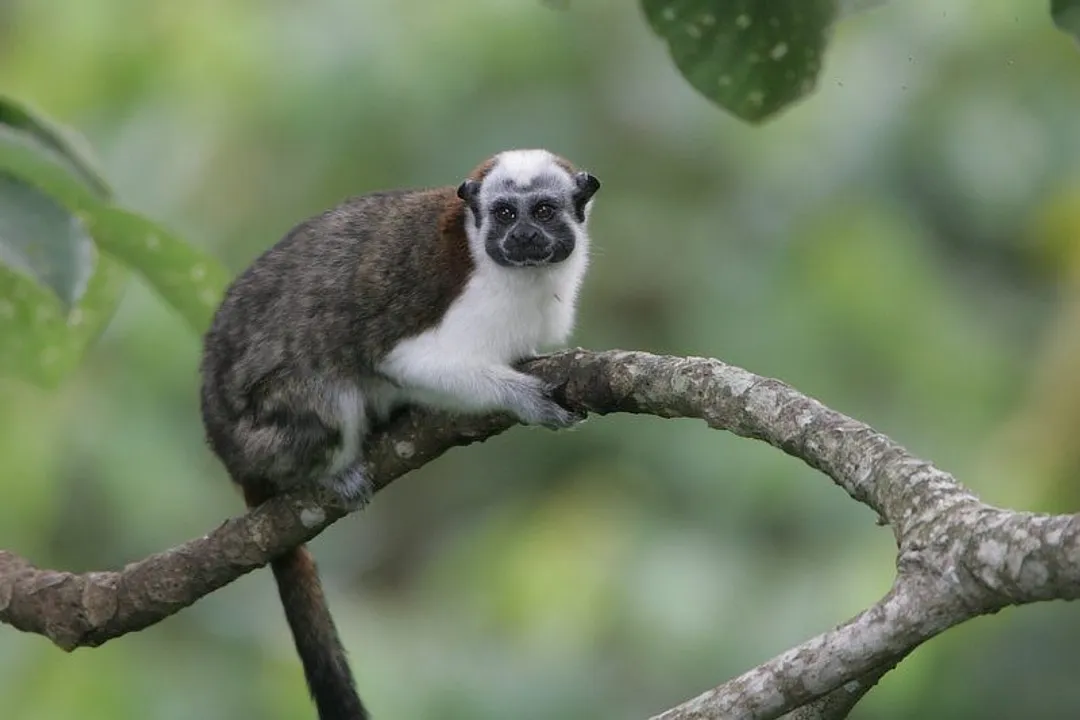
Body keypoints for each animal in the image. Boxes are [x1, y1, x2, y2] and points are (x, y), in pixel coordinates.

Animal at [198, 149, 600, 720]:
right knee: (329, 389)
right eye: (504, 214)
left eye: (543, 211)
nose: (522, 237)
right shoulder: (453, 301)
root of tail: (228, 452)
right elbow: (396, 359)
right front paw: (522, 397)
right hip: (266, 437)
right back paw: (330, 474)